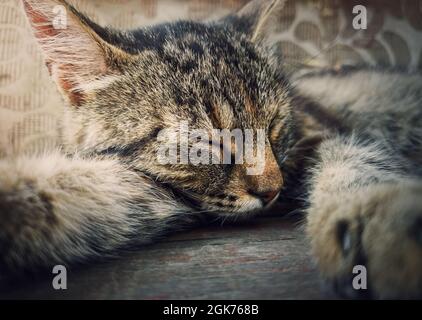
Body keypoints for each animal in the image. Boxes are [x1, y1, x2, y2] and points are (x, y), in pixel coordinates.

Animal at [0, 0, 422, 300]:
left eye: (273, 125)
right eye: (206, 141)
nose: (272, 191)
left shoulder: (324, 130)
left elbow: (354, 159)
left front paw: (379, 225)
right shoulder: (141, 190)